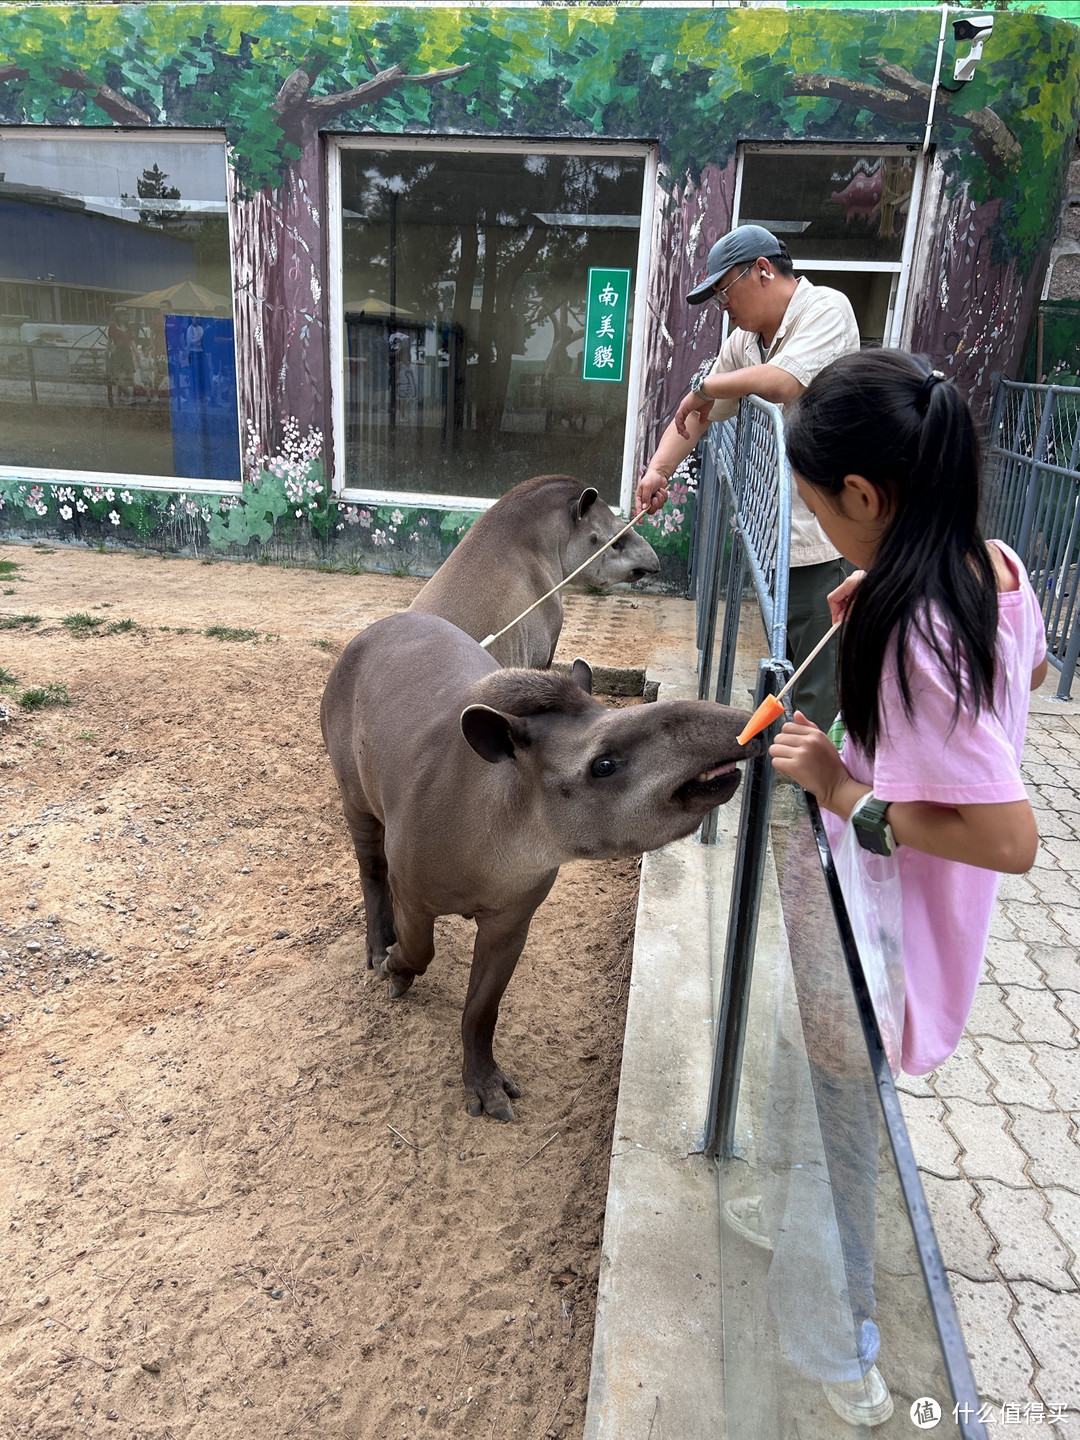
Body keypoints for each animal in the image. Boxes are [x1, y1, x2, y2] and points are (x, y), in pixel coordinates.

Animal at [321, 613, 760, 1117]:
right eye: (603, 764)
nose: (757, 724)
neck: (492, 830)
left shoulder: (515, 914)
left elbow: (482, 1007)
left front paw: (487, 1088)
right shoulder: (413, 892)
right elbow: (419, 947)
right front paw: (395, 967)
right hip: (352, 782)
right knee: (371, 866)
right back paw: (378, 947)